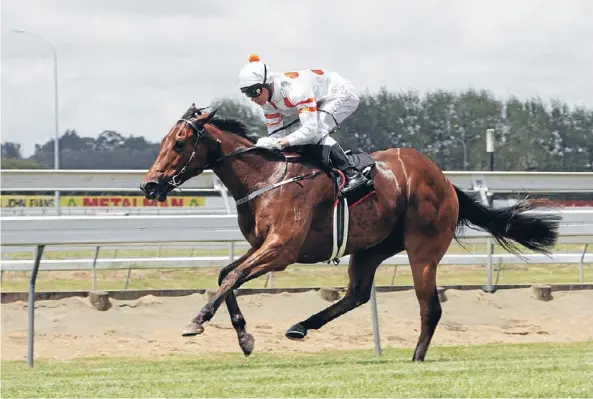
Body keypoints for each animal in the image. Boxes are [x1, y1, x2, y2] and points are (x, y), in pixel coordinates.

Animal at [140, 104, 560, 362]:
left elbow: (235, 276)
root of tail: (444, 180)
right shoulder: (263, 244)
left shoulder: (282, 249)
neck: (266, 177)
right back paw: (300, 326)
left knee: (431, 307)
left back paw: (415, 359)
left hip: (423, 248)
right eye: (163, 142)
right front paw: (244, 337)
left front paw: (197, 321)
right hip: (371, 247)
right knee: (357, 294)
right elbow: (226, 274)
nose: (149, 185)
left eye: (180, 142)